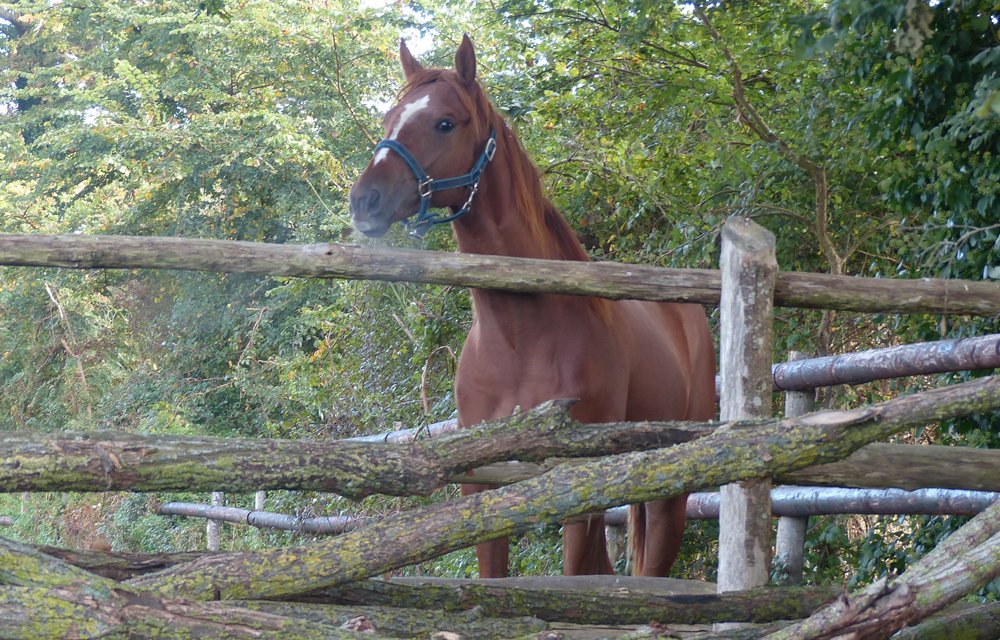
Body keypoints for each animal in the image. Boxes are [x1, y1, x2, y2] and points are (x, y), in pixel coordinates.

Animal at [349, 35, 716, 577]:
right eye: (388, 117)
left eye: (444, 122)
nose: (365, 201)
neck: (523, 337)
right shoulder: (481, 483)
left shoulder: (573, 488)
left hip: (670, 496)